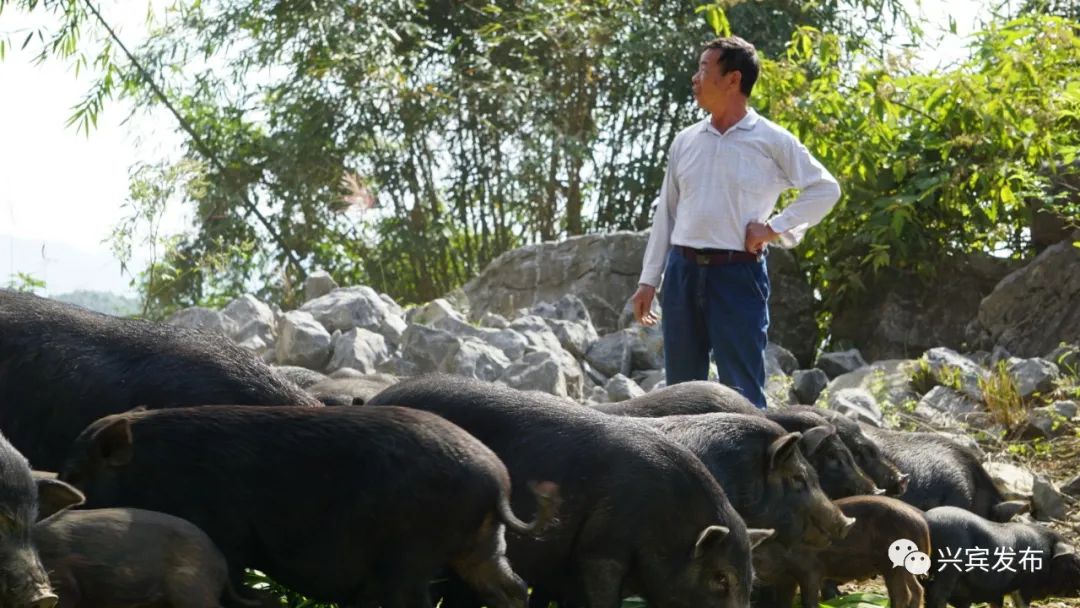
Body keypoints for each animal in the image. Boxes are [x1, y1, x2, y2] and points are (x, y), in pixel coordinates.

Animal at [59, 405, 559, 608]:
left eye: (77, 476)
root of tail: (496, 481)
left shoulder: (226, 533)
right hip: (482, 544)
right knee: (513, 588)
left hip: (411, 555)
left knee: (418, 598)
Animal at [923, 506, 1080, 608]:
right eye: (1076, 560)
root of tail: (927, 522)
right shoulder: (1026, 586)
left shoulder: (998, 592)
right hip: (949, 567)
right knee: (937, 595)